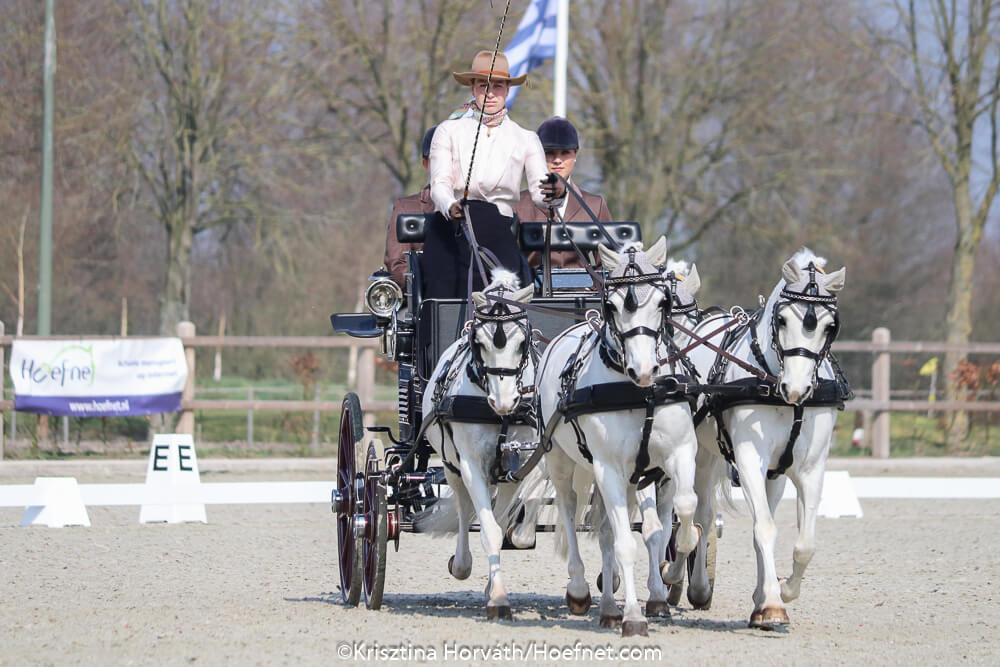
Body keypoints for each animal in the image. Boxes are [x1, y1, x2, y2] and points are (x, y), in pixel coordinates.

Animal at [420, 269, 537, 620]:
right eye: (479, 343)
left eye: (523, 342)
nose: (504, 402)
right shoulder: (471, 465)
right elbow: (488, 529)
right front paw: (498, 597)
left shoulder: (515, 469)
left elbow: (497, 526)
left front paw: (493, 590)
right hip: (452, 466)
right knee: (462, 508)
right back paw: (461, 564)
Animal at [534, 238, 701, 637]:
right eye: (611, 305)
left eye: (662, 303)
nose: (644, 370)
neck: (641, 394)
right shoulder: (608, 467)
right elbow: (626, 542)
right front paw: (634, 617)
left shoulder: (677, 455)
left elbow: (681, 513)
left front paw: (671, 574)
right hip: (561, 460)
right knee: (569, 509)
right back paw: (581, 591)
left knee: (607, 528)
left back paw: (610, 606)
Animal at [684, 247, 848, 629]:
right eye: (783, 320)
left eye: (829, 326)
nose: (796, 389)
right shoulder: (748, 460)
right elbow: (764, 529)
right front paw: (774, 603)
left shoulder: (810, 469)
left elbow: (804, 542)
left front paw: (778, 591)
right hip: (699, 456)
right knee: (699, 516)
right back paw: (690, 584)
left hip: (773, 473)